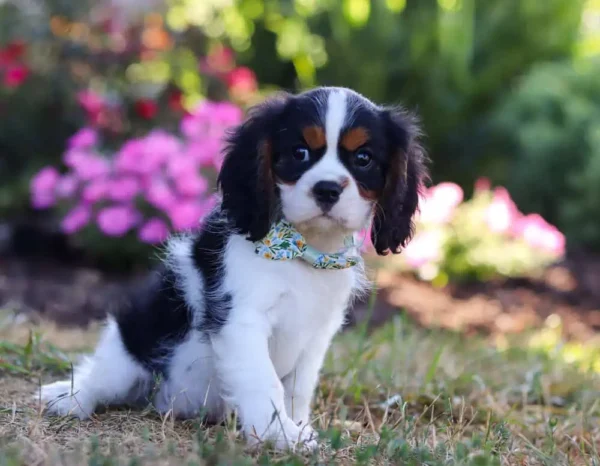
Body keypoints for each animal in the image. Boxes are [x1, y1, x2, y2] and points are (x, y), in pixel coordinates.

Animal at [37, 86, 428, 451]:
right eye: (299, 153)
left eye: (363, 158)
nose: (327, 188)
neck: (303, 251)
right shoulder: (241, 319)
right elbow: (262, 380)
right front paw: (279, 435)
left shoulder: (317, 333)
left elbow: (298, 387)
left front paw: (297, 427)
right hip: (131, 345)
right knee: (103, 377)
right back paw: (69, 397)